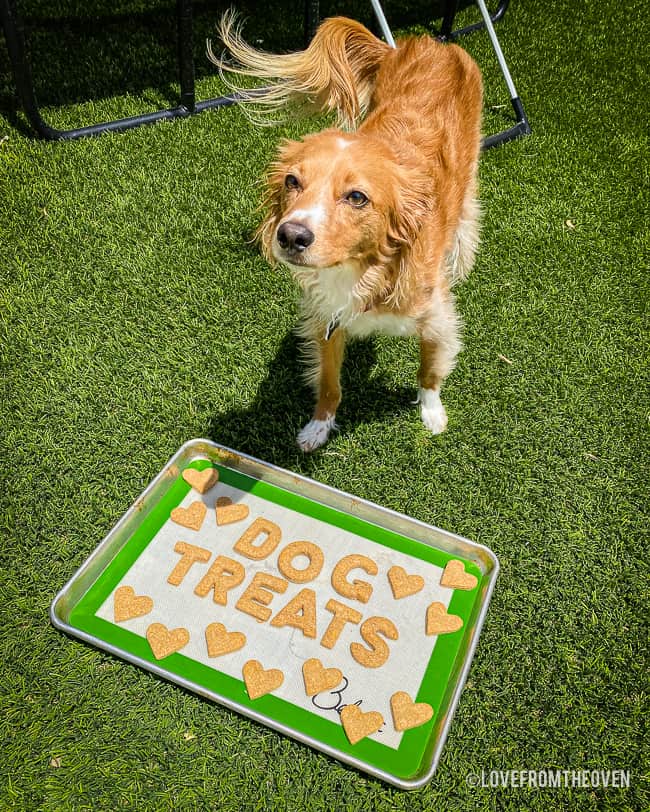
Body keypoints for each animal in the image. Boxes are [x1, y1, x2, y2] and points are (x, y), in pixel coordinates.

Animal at [213, 14, 480, 450]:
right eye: (292, 181)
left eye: (357, 197)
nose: (291, 236)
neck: (363, 267)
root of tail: (430, 43)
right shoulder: (325, 317)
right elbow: (329, 382)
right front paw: (318, 427)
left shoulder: (437, 318)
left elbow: (429, 370)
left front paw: (432, 414)